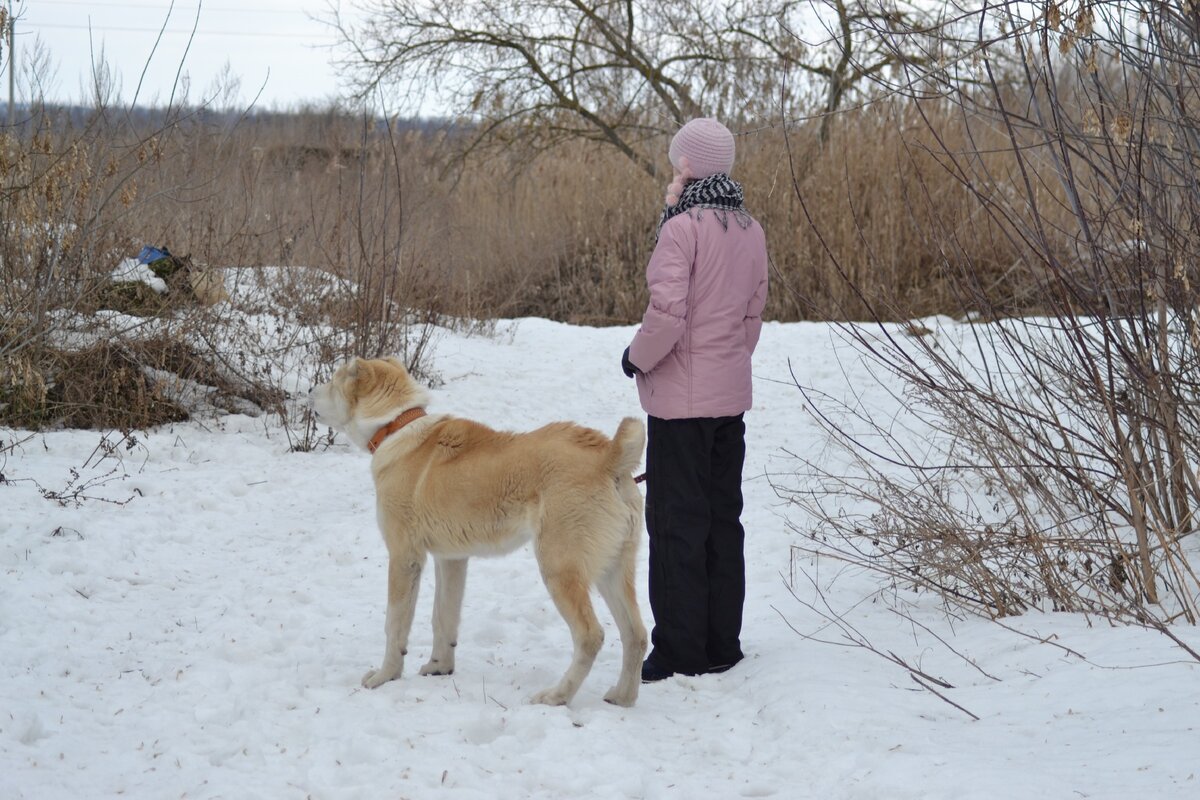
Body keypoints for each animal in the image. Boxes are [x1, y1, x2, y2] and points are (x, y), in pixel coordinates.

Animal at [309, 357, 648, 705]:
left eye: (333, 381)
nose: (309, 392)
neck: (396, 426)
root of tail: (609, 459)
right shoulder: (451, 559)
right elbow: (443, 617)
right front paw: (439, 667)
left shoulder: (405, 558)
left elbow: (395, 623)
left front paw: (385, 676)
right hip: (613, 570)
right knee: (636, 633)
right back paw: (622, 697)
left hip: (560, 568)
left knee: (591, 636)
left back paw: (556, 695)